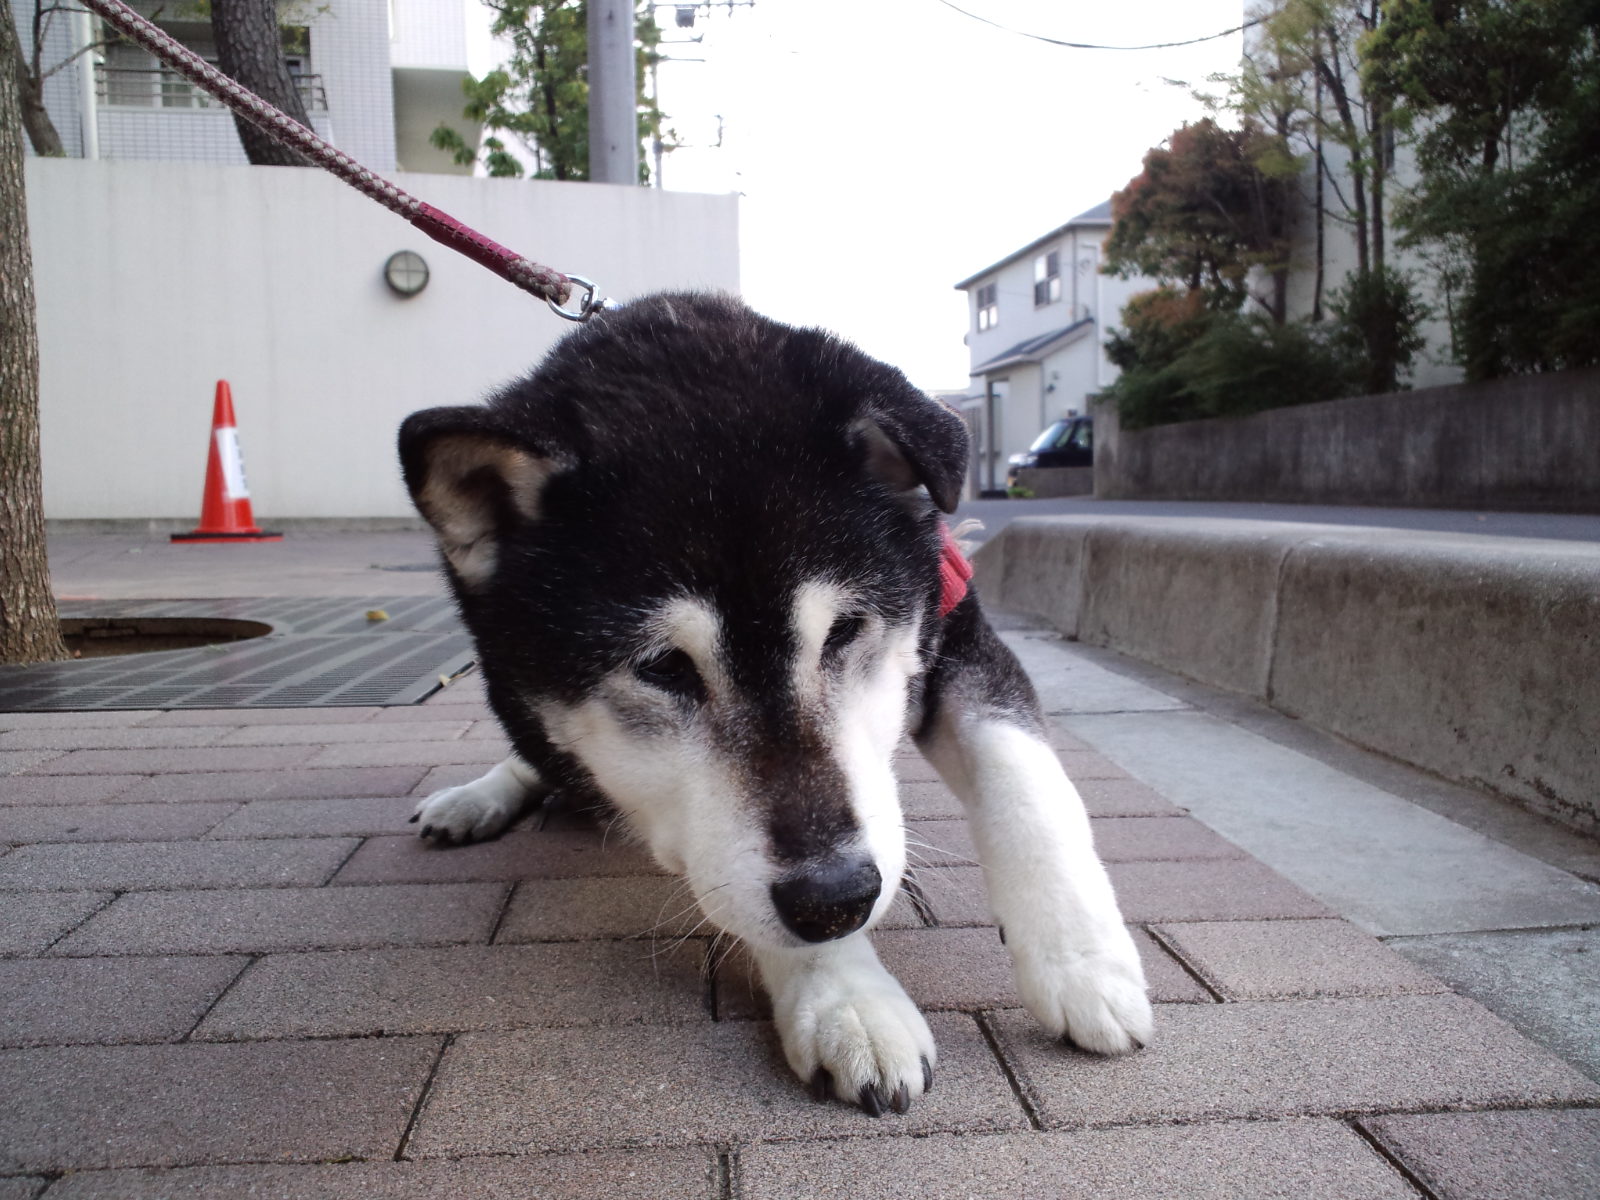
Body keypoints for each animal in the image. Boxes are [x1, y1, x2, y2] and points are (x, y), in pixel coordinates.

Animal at [400, 291, 1152, 1120]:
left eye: (846, 630)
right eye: (664, 667)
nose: (838, 898)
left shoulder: (955, 624)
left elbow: (1028, 785)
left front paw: (1085, 963)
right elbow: (736, 885)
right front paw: (848, 1002)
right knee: (540, 759)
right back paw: (478, 797)